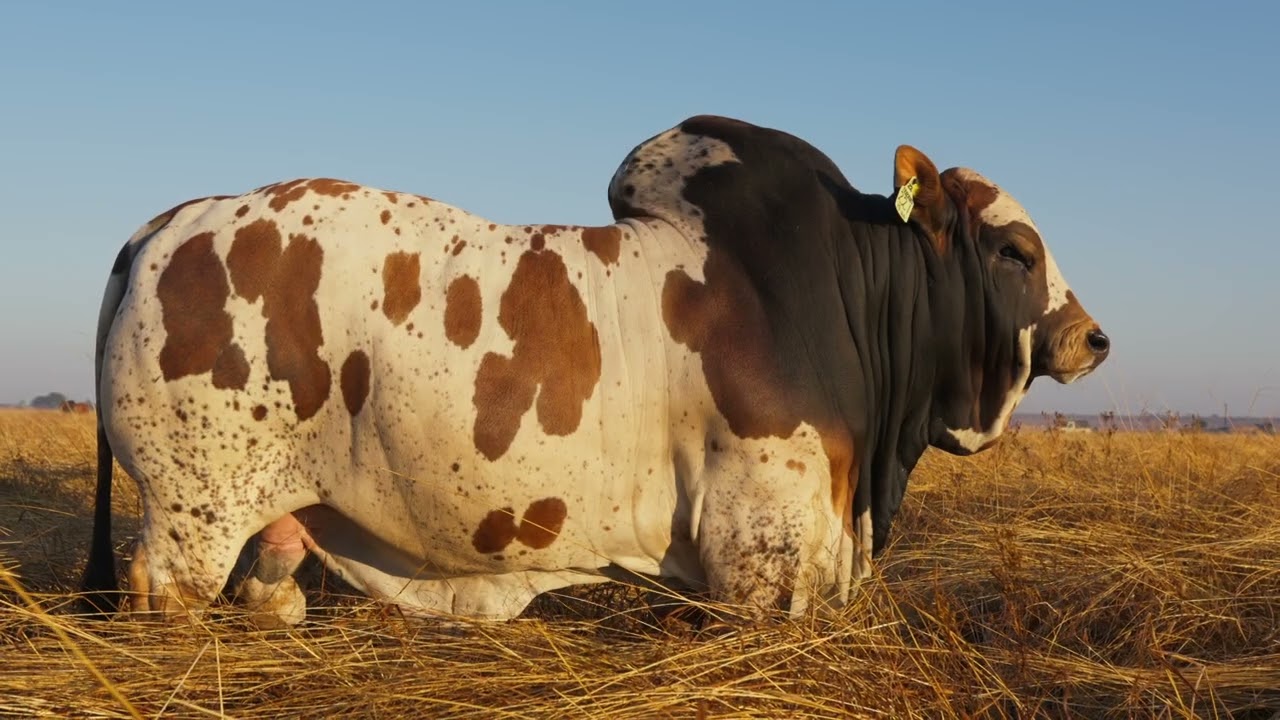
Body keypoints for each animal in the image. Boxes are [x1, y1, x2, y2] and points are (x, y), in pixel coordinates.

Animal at [81, 115, 1108, 625]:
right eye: (1013, 250)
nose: (1092, 338)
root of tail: (170, 221)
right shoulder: (763, 556)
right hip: (188, 516)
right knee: (166, 591)